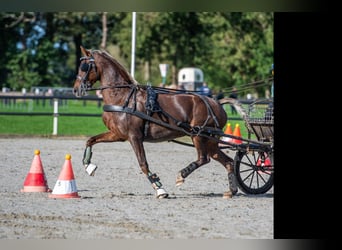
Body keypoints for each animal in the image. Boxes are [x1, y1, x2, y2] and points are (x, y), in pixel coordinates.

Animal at [72, 46, 238, 198]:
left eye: (83, 67)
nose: (75, 90)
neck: (122, 97)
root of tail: (216, 102)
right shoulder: (117, 134)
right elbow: (91, 140)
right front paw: (88, 166)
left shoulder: (134, 137)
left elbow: (143, 163)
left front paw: (160, 188)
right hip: (210, 139)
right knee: (227, 161)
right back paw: (231, 190)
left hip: (198, 135)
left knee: (203, 158)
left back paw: (181, 175)